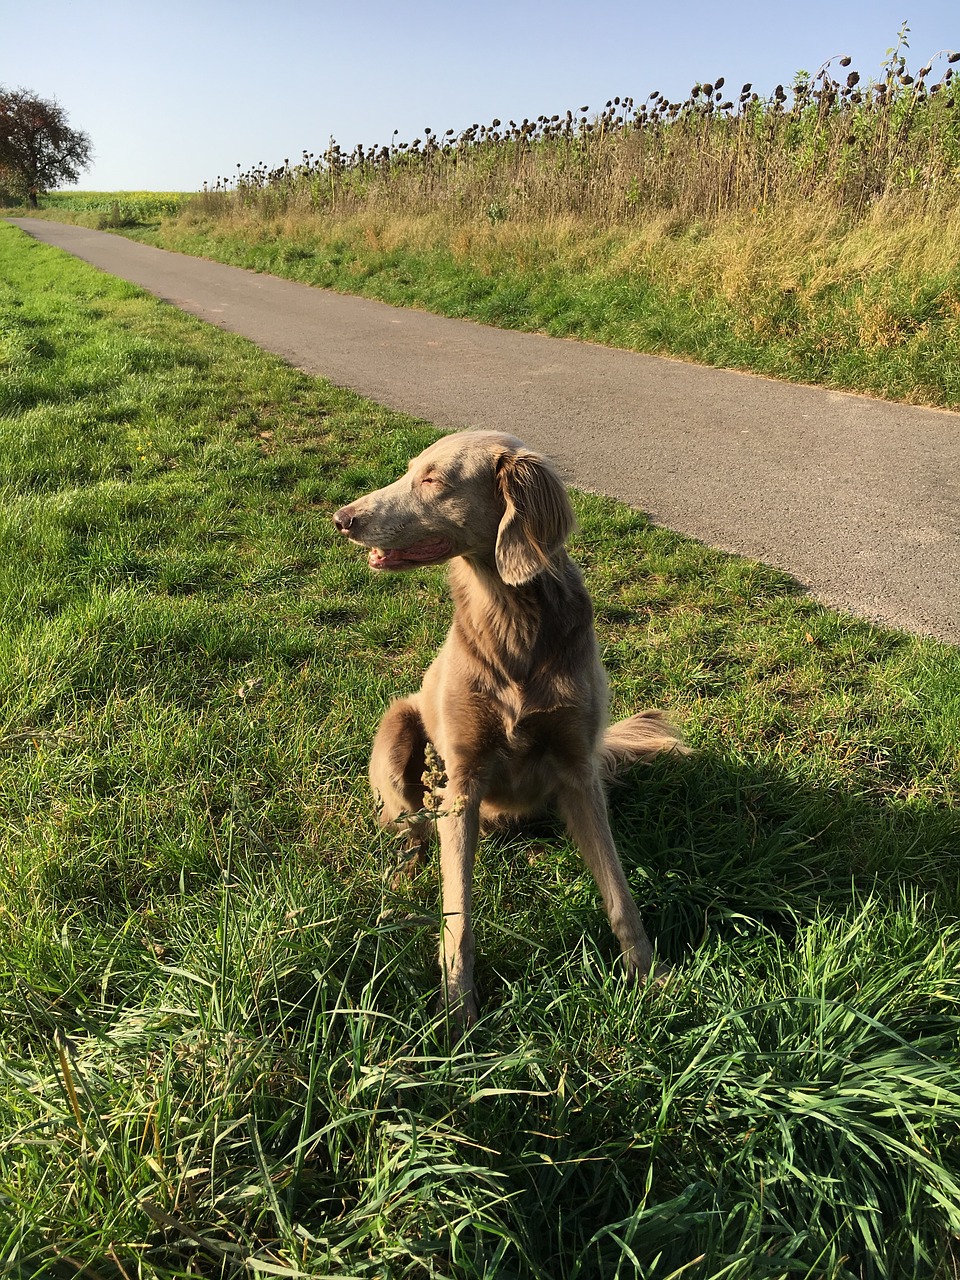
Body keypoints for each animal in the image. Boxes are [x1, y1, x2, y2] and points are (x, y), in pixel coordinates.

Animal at [332, 435, 686, 1024]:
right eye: (409, 471)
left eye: (432, 479)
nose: (342, 518)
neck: (510, 614)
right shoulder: (462, 781)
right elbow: (458, 913)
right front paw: (458, 1013)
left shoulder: (578, 769)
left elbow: (618, 892)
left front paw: (650, 978)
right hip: (398, 731)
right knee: (410, 827)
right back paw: (400, 883)